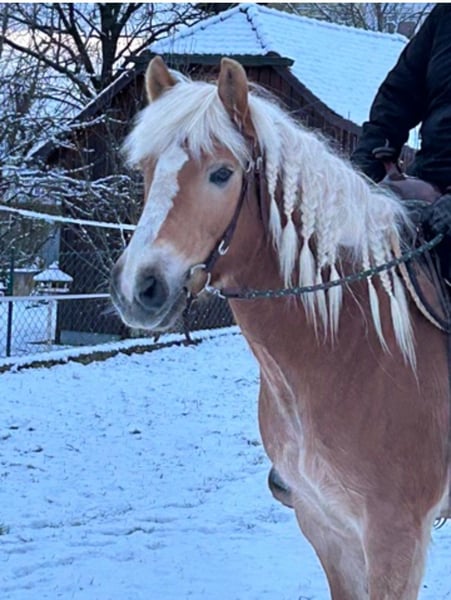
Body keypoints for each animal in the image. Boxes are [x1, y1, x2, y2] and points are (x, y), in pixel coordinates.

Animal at [110, 56, 450, 599]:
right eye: (147, 170)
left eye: (222, 173)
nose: (138, 287)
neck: (355, 349)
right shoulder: (325, 525)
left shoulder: (396, 538)